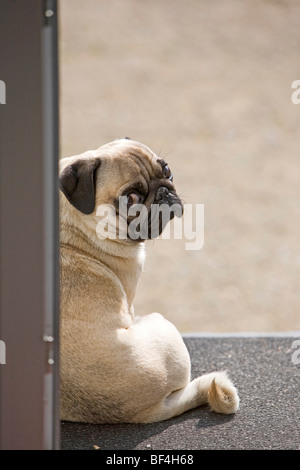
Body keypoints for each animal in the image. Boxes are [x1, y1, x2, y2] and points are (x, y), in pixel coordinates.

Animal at [59, 139, 240, 422]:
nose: (163, 192)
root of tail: (140, 414)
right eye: (131, 199)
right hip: (163, 325)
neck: (79, 222)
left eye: (167, 171)